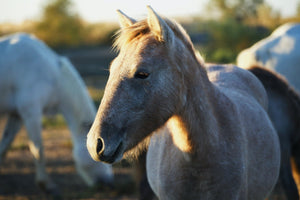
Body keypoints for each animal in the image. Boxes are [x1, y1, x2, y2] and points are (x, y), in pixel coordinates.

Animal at [0, 32, 113, 194]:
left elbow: (5, 145)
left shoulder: (17, 115)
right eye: (99, 152)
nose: (109, 184)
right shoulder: (31, 113)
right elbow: (38, 150)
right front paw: (47, 185)